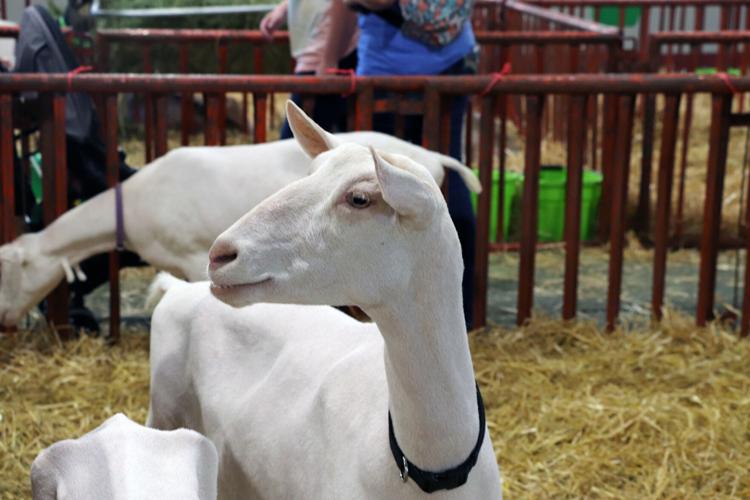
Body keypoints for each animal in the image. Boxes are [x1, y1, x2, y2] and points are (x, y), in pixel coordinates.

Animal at [147, 101, 502, 498]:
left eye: (360, 199)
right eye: (309, 173)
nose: (221, 254)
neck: (430, 469)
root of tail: (178, 289)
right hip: (163, 407)